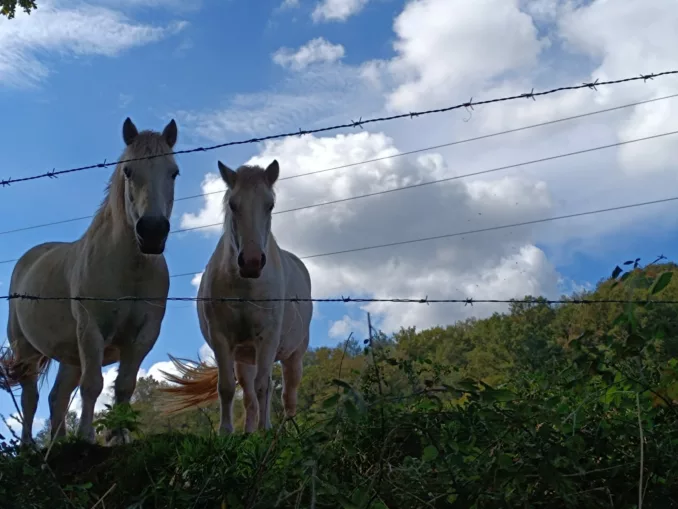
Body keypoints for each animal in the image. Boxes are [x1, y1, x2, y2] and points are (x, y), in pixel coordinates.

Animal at [0, 117, 180, 445]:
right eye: (128, 171)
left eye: (173, 171)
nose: (152, 232)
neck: (130, 270)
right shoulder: (92, 329)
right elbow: (93, 385)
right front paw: (86, 437)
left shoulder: (143, 336)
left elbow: (124, 386)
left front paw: (119, 436)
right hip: (27, 350)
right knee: (31, 398)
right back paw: (28, 447)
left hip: (70, 355)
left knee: (57, 397)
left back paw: (57, 442)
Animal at [158, 160, 312, 434]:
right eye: (232, 204)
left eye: (270, 205)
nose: (251, 262)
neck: (245, 288)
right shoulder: (223, 340)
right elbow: (228, 388)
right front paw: (226, 432)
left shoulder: (267, 339)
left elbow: (264, 387)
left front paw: (265, 430)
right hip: (245, 359)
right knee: (250, 396)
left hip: (293, 355)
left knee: (287, 395)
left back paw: (284, 430)